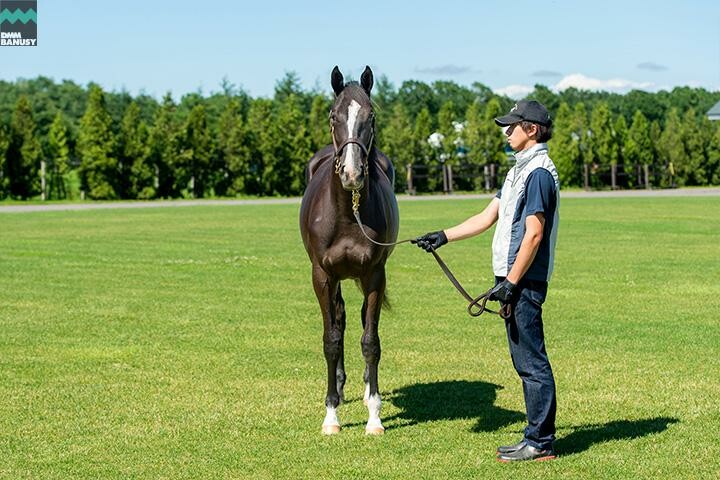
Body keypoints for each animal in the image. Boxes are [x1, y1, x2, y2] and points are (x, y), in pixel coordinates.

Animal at [298, 64, 400, 436]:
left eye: (371, 116)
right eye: (333, 115)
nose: (352, 173)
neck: (347, 213)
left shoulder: (374, 276)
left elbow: (370, 341)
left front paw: (374, 415)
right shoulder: (322, 276)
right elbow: (331, 340)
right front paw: (331, 415)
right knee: (339, 321)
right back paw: (340, 389)